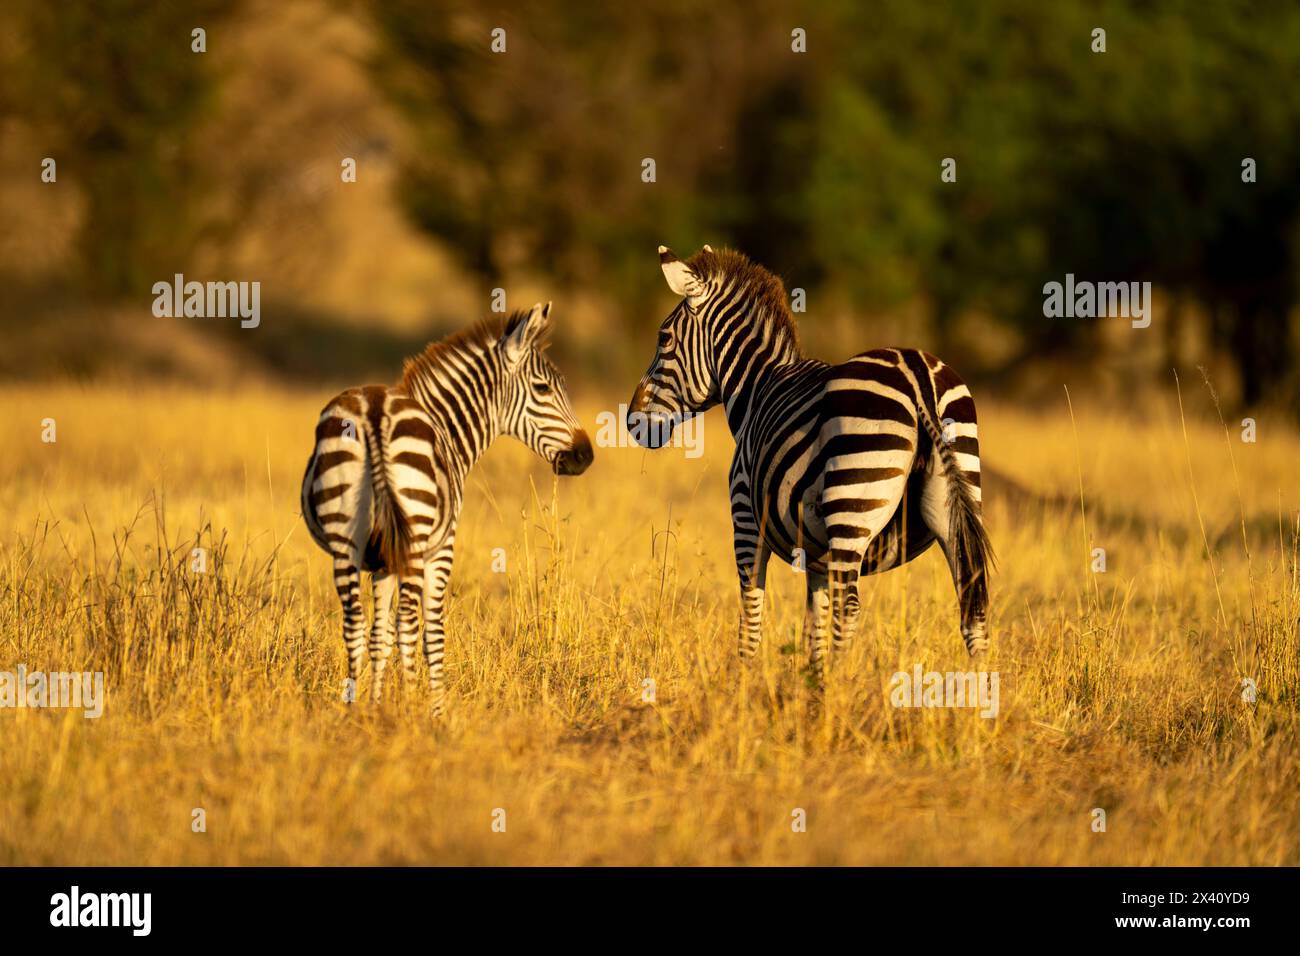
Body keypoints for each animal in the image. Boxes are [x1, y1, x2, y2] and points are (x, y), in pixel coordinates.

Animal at [299, 303, 595, 712]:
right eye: (543, 388)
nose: (585, 456)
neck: (446, 428)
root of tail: (374, 410)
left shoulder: (383, 560)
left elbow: (379, 636)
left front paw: (374, 706)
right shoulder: (441, 548)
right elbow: (431, 633)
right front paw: (435, 710)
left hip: (346, 540)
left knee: (355, 626)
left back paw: (351, 709)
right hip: (414, 539)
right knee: (408, 625)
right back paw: (411, 709)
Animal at [629, 247, 993, 681]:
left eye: (664, 338)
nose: (631, 422)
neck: (756, 387)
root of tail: (918, 375)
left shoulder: (745, 518)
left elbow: (751, 609)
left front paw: (745, 681)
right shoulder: (815, 553)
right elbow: (813, 625)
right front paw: (812, 684)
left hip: (853, 504)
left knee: (849, 608)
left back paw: (842, 688)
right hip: (956, 499)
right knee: (973, 605)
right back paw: (981, 695)